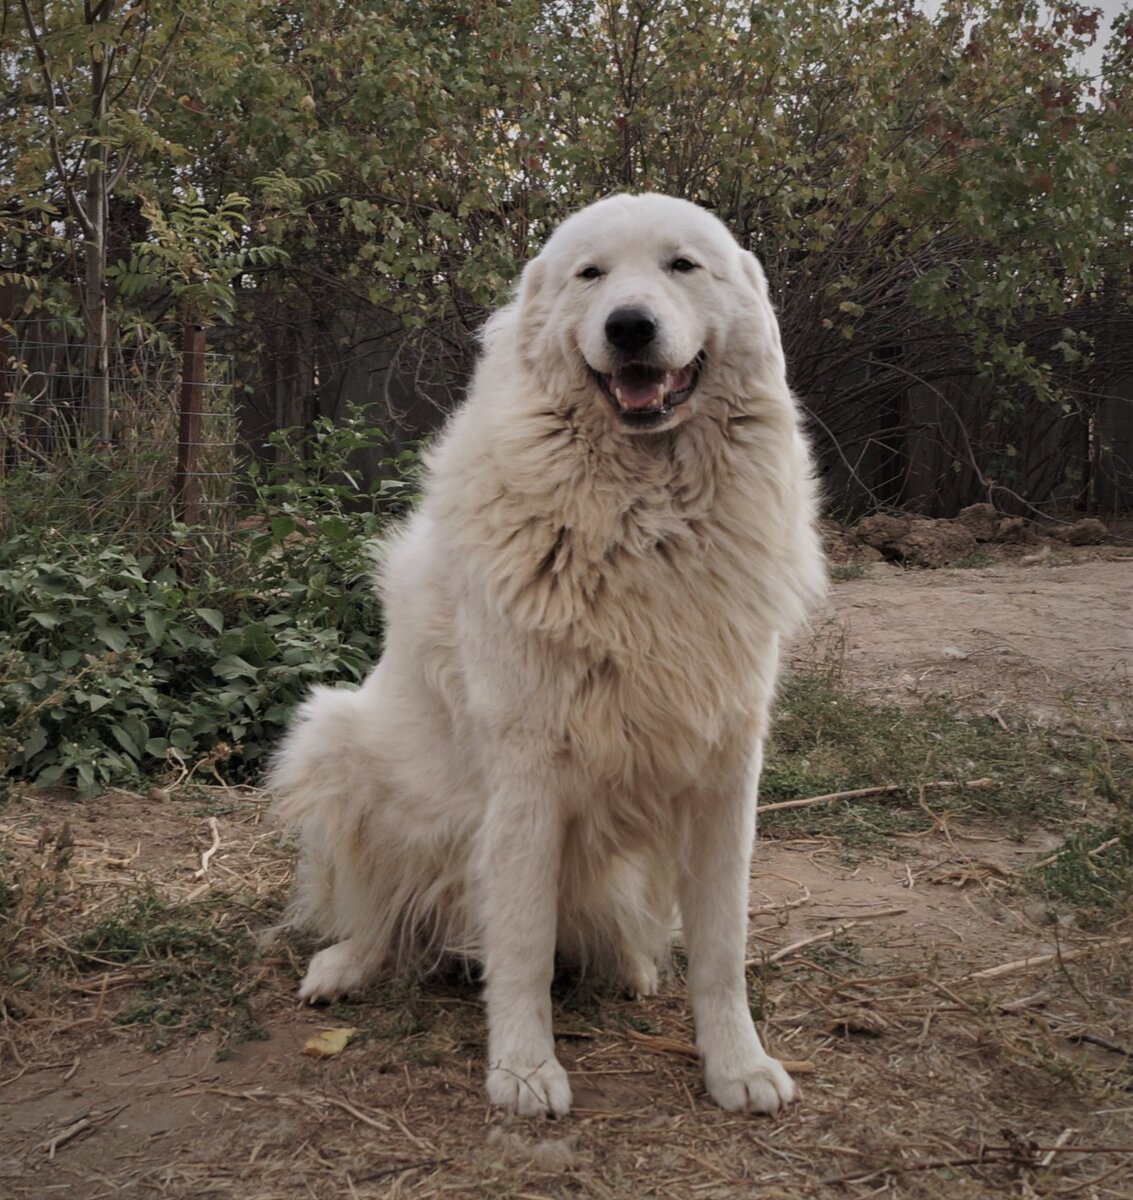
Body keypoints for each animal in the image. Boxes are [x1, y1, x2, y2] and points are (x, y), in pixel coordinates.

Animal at [271, 192, 825, 1118]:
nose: (629, 326)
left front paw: (736, 1065)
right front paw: (525, 1070)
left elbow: (721, 946)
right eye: (590, 275)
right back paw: (346, 965)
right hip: (334, 738)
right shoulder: (528, 769)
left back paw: (631, 969)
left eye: (682, 266)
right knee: (385, 910)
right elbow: (524, 943)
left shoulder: (725, 767)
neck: (645, 520)